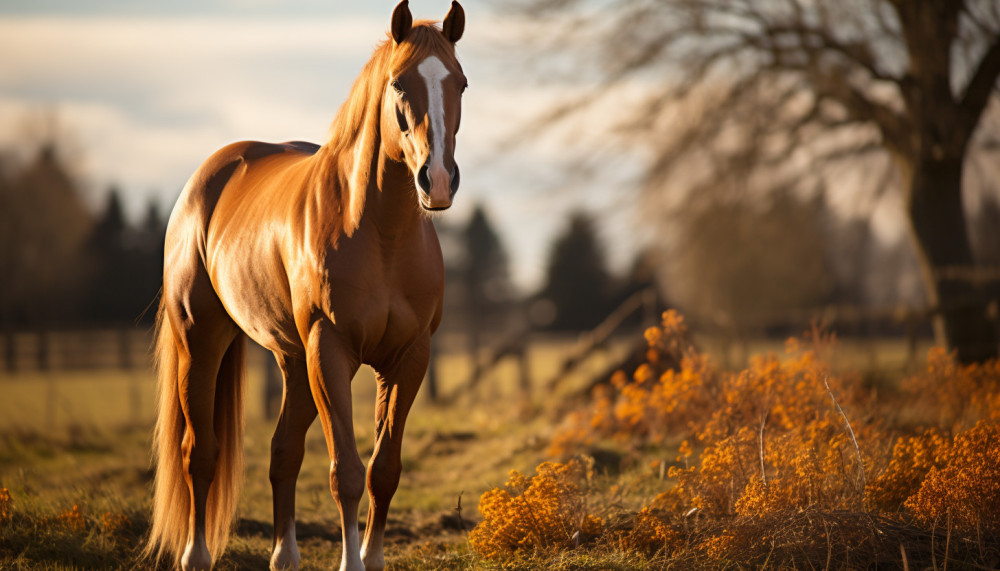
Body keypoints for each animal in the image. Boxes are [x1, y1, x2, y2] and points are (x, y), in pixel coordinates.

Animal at [143, 2, 466, 569]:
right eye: (399, 84)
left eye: (462, 84)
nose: (439, 180)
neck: (379, 232)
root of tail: (210, 176)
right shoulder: (330, 349)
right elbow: (347, 472)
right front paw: (351, 561)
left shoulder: (409, 357)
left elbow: (384, 469)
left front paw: (373, 558)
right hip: (202, 342)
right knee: (199, 453)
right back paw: (196, 553)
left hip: (294, 362)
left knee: (283, 453)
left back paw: (284, 555)